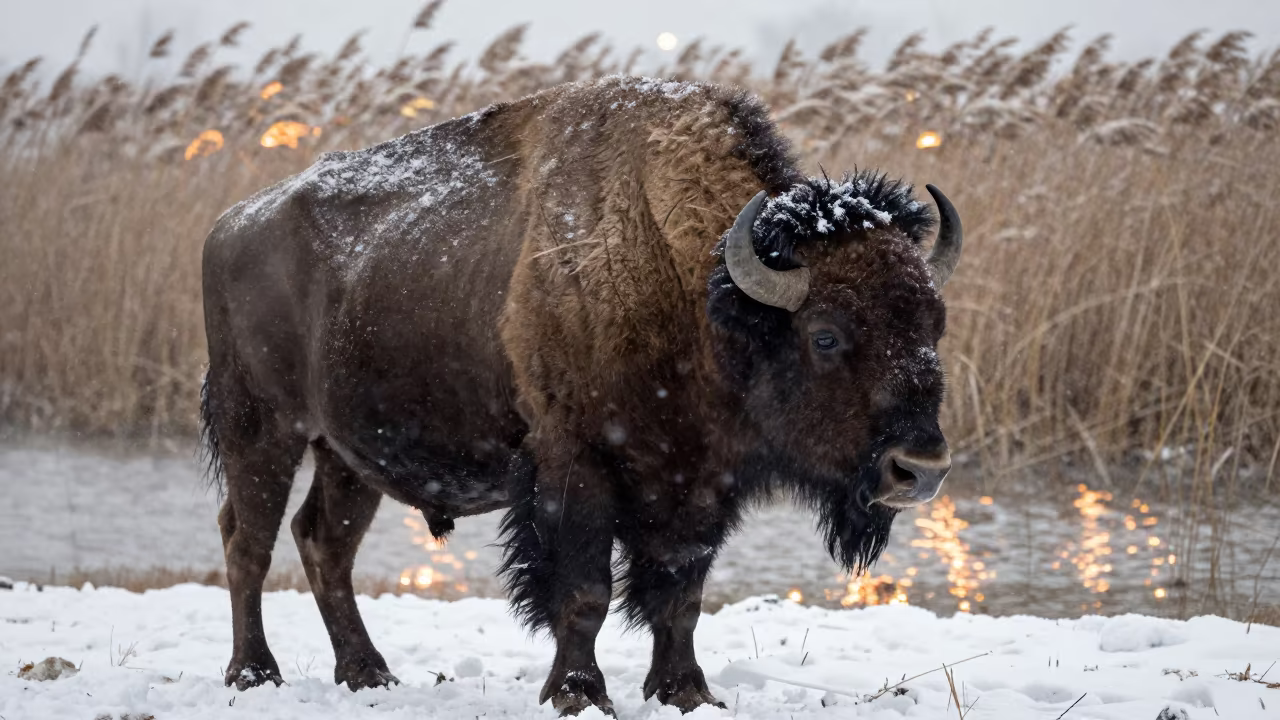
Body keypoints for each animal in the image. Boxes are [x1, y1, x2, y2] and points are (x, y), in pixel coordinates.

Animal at [200, 75, 962, 715]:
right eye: (826, 335)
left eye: (934, 324)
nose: (920, 469)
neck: (693, 281)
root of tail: (230, 224)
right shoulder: (576, 466)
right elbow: (585, 594)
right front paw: (578, 694)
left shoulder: (699, 485)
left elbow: (680, 596)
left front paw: (687, 692)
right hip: (262, 428)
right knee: (247, 539)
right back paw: (254, 674)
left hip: (348, 454)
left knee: (324, 541)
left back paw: (368, 673)